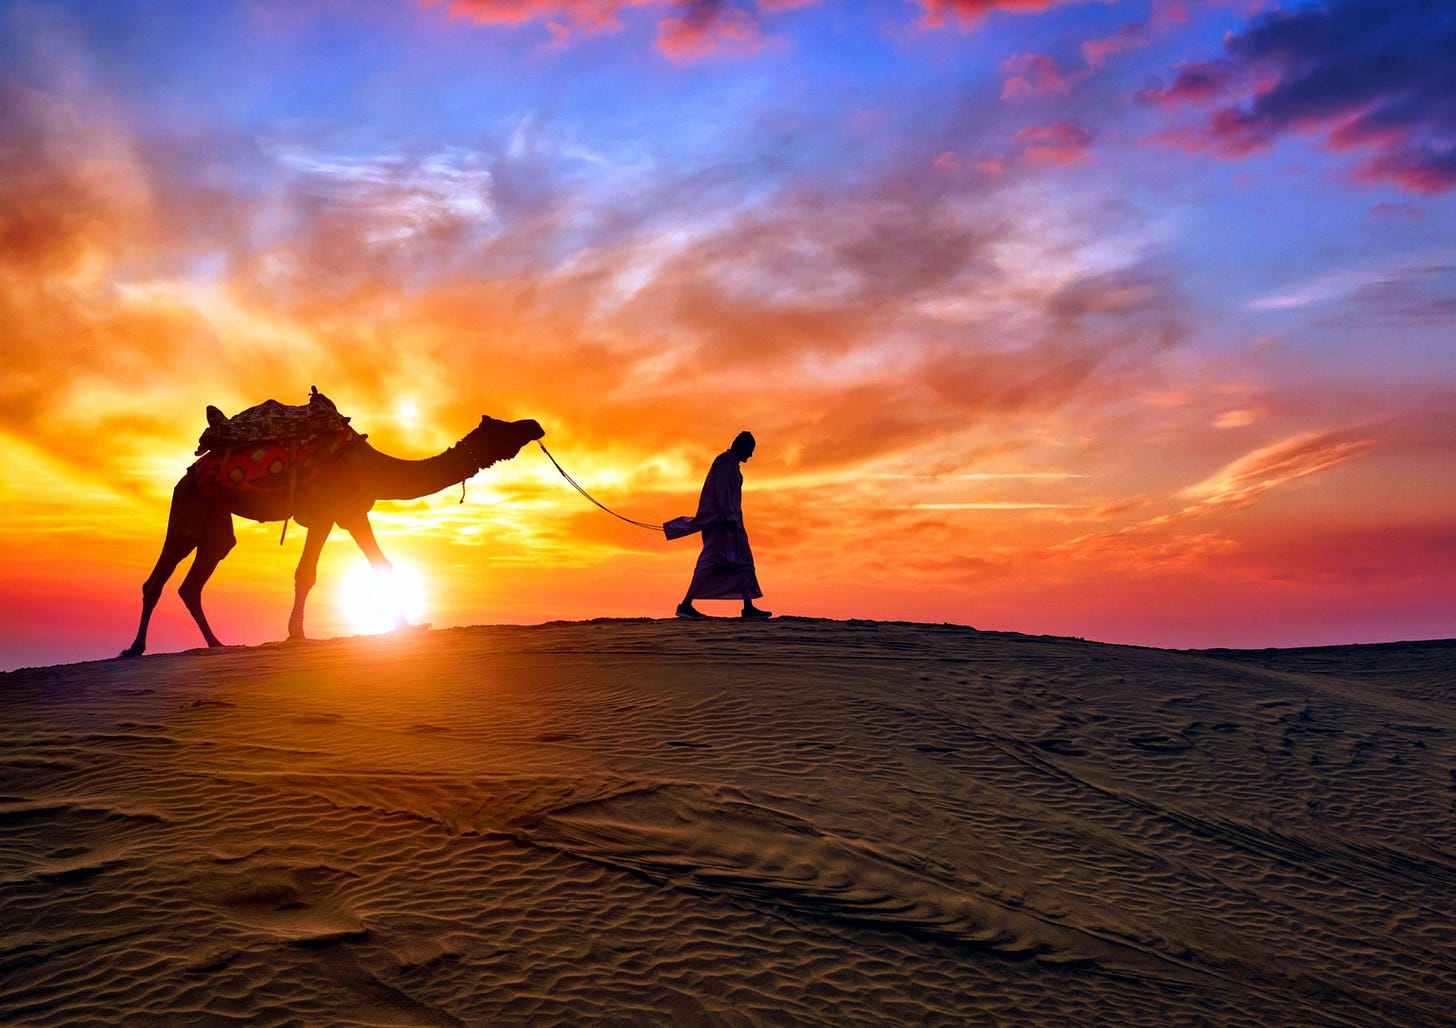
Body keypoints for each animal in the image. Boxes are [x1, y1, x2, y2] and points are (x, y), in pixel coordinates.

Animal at [122, 411, 545, 657]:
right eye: (503, 427)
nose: (535, 425)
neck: (376, 468)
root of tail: (187, 474)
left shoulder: (352, 511)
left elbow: (383, 566)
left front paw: (407, 626)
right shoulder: (328, 511)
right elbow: (306, 573)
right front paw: (296, 634)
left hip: (216, 520)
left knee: (197, 576)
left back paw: (216, 645)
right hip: (189, 505)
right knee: (161, 574)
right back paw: (135, 649)